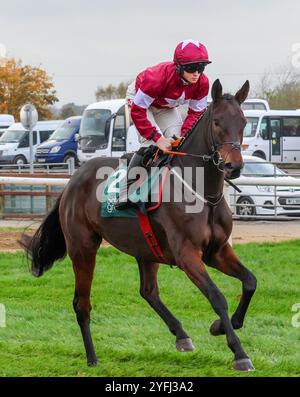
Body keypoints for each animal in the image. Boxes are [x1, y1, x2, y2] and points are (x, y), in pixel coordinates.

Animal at [21, 79, 256, 372]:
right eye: (216, 122)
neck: (203, 193)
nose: (233, 166)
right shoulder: (188, 254)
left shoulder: (217, 251)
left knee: (148, 291)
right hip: (82, 247)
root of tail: (73, 181)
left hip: (146, 248)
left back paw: (181, 335)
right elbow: (217, 297)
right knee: (81, 303)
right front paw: (239, 352)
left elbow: (250, 282)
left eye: (244, 121)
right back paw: (92, 358)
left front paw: (220, 327)